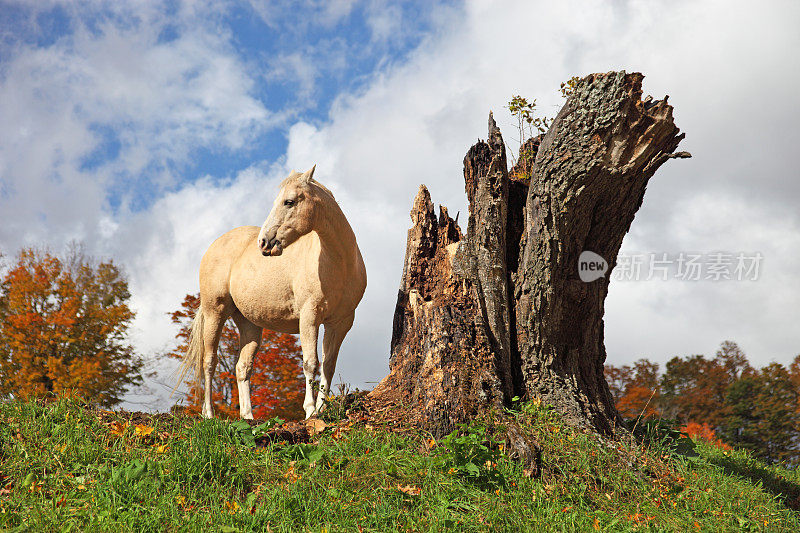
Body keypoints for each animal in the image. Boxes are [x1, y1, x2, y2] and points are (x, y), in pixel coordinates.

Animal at [180, 166, 368, 420]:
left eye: (289, 201)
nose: (264, 242)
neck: (339, 263)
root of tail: (215, 245)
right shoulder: (309, 317)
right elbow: (310, 362)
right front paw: (310, 411)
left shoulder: (340, 322)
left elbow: (329, 365)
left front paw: (322, 409)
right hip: (214, 312)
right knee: (209, 361)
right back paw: (208, 414)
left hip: (249, 324)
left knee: (242, 367)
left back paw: (248, 417)